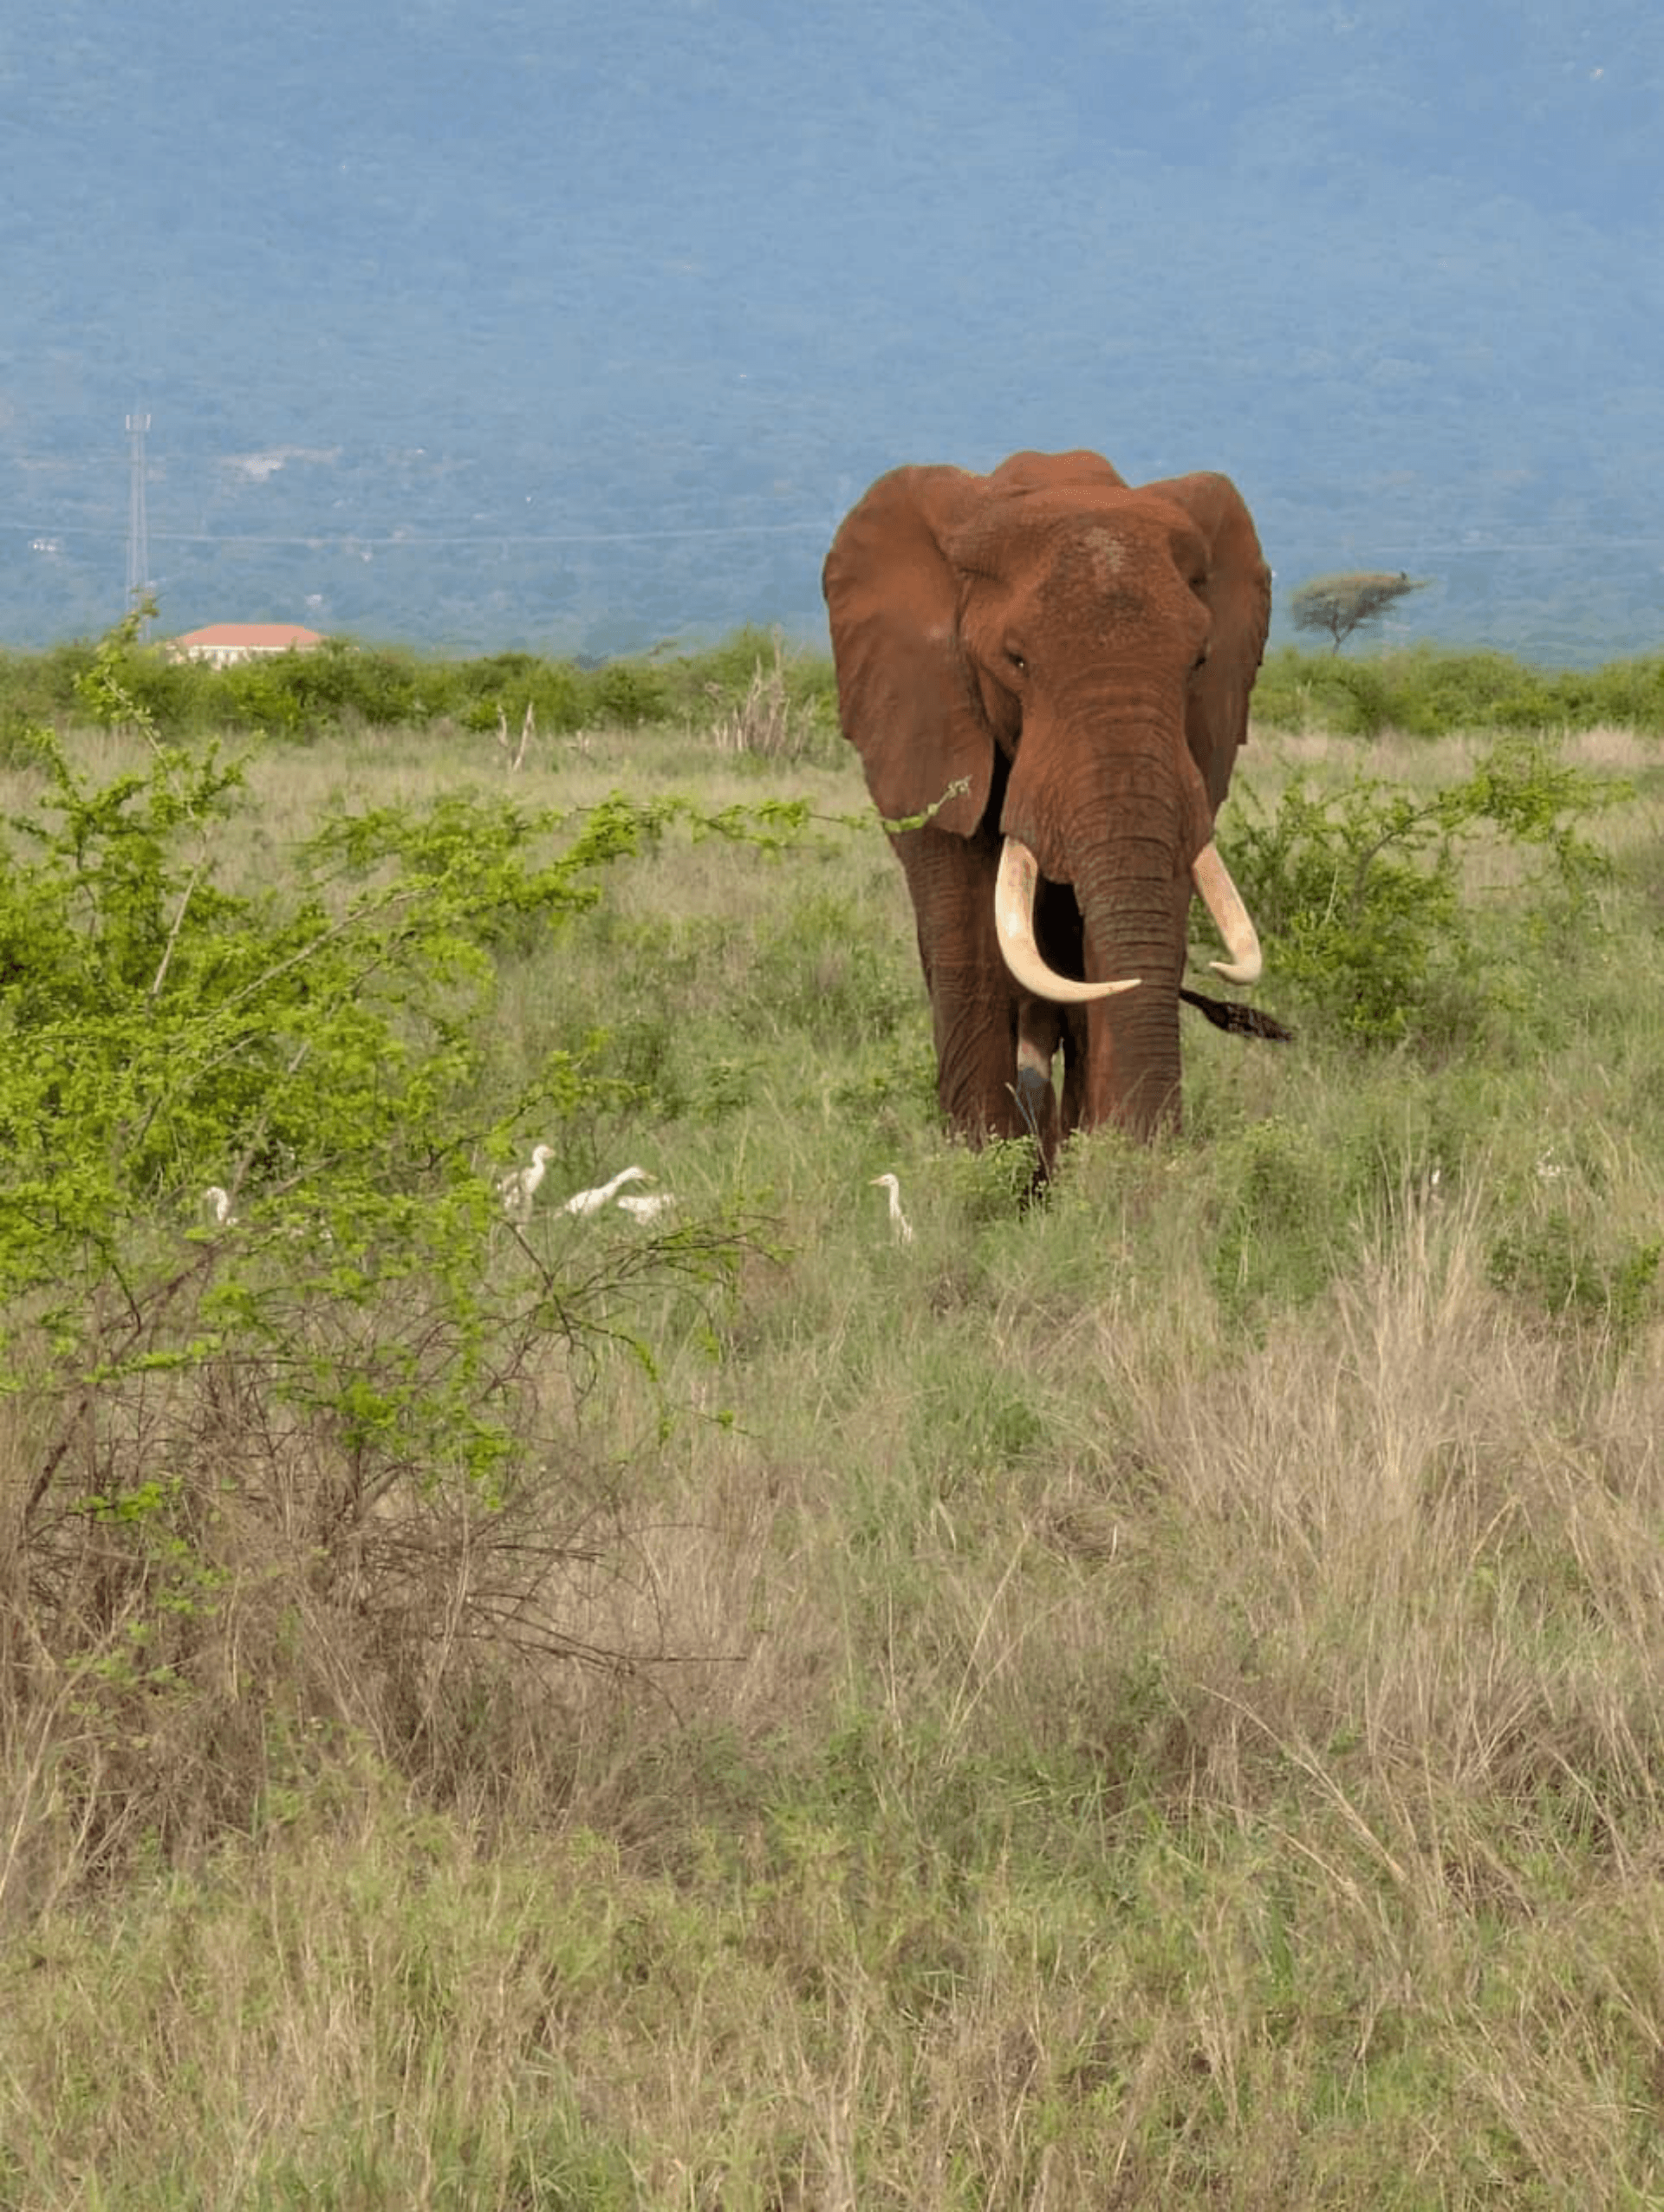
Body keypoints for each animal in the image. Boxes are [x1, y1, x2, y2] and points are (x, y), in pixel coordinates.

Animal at [823, 447, 1274, 1160]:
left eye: (1199, 662)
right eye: (1016, 661)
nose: (1155, 1149)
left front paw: (1114, 1165)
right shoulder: (922, 715)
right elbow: (969, 936)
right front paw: (985, 1167)